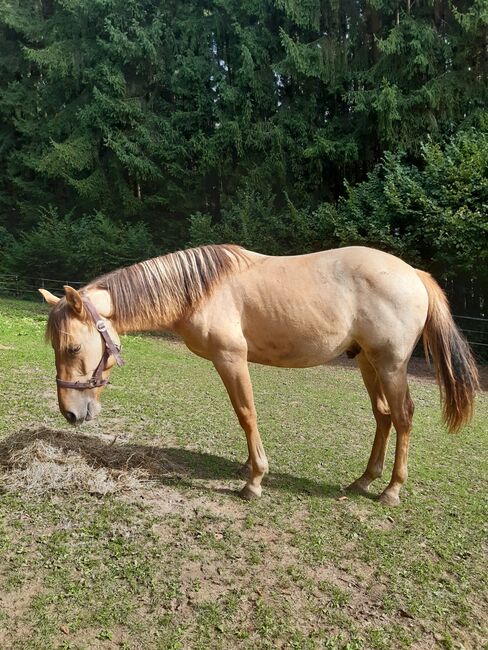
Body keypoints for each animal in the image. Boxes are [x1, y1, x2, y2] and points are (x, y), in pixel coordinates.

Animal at [39, 244, 479, 506]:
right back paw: (364, 481)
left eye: (72, 348)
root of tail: (413, 273)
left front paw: (254, 479)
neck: (202, 289)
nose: (70, 413)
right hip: (368, 363)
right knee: (383, 417)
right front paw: (249, 468)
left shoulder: (231, 359)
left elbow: (246, 414)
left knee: (402, 417)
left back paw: (391, 490)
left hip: (390, 365)